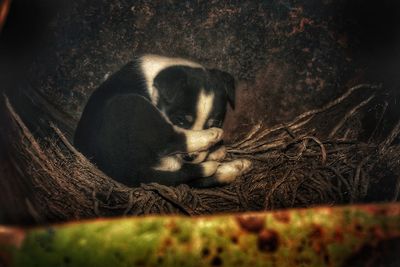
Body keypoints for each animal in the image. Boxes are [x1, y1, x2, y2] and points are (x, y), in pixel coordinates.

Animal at [73, 54, 252, 188]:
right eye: (180, 120)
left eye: (215, 121)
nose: (190, 157)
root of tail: (134, 173)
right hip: (131, 105)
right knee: (169, 141)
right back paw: (213, 139)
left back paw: (234, 165)